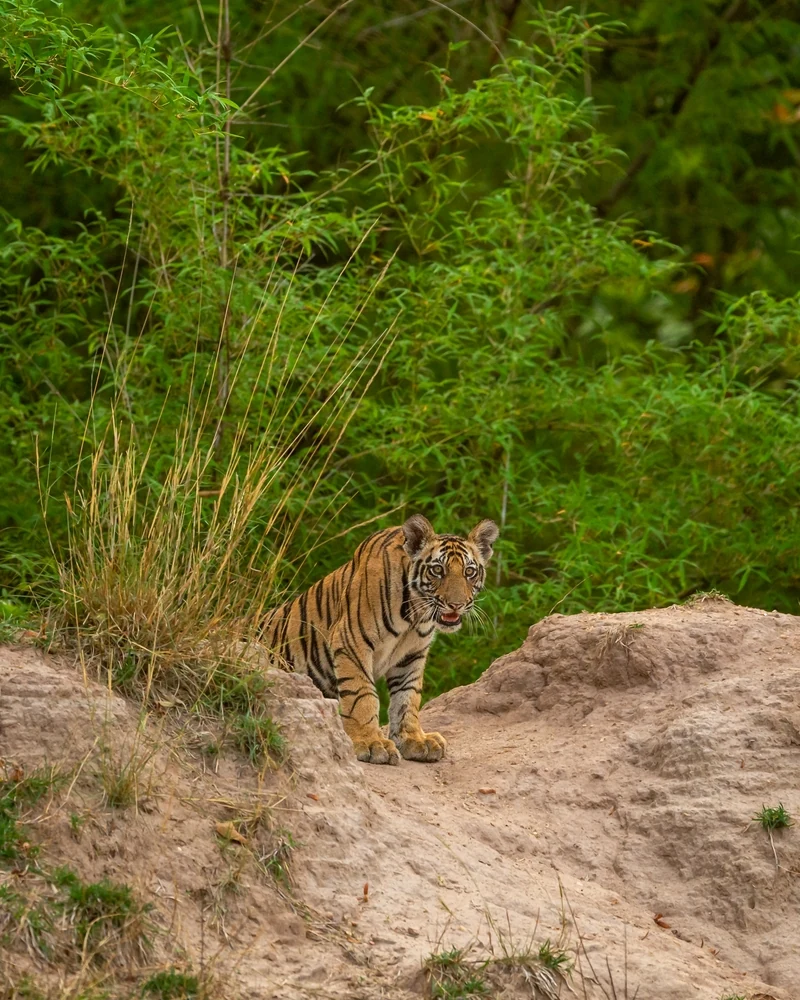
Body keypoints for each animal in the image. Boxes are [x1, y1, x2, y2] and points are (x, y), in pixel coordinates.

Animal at [260, 514, 499, 765]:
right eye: (437, 570)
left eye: (469, 572)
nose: (456, 604)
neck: (415, 615)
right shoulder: (351, 642)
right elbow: (361, 695)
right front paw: (371, 743)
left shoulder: (412, 655)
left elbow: (407, 697)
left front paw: (414, 740)